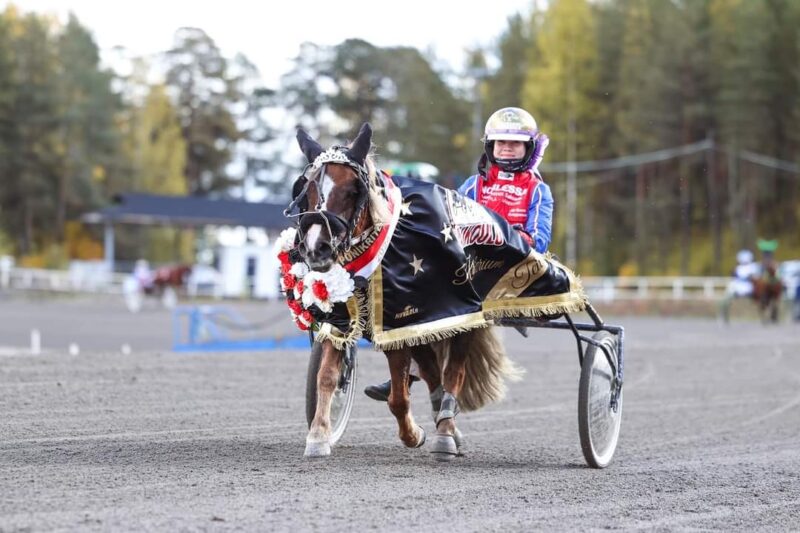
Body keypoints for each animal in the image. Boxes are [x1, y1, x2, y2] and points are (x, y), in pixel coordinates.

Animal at [288, 123, 524, 458]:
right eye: (307, 190)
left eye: (352, 191)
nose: (316, 249)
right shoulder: (343, 317)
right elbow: (328, 377)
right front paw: (320, 434)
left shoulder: (398, 324)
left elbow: (399, 398)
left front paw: (414, 434)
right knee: (432, 373)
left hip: (462, 320)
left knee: (453, 374)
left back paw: (445, 433)